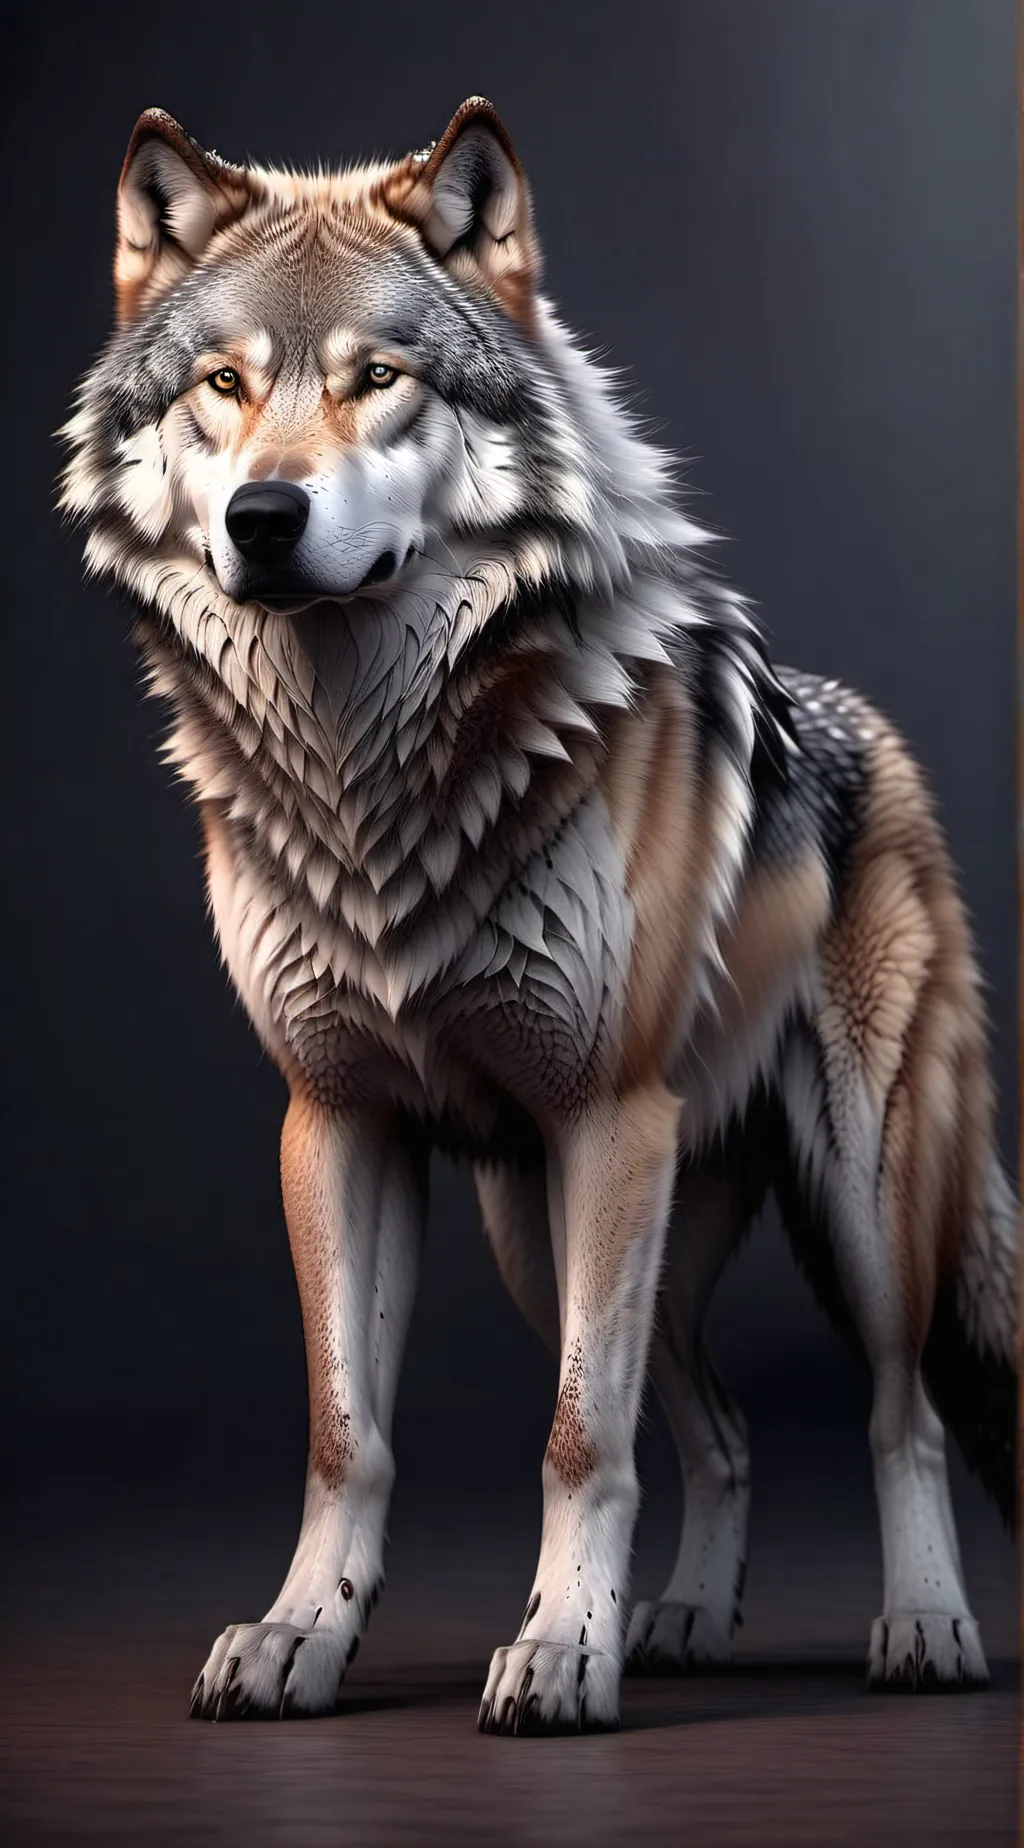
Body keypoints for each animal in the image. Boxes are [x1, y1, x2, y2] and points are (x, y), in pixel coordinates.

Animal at [61, 97, 1018, 1734]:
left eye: (379, 379)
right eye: (224, 385)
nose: (264, 517)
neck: (366, 774)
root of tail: (865, 725)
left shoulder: (607, 1116)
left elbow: (579, 1438)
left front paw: (564, 1651)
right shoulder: (338, 1123)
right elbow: (349, 1433)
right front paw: (302, 1635)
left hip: (856, 1195)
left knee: (901, 1415)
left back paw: (923, 1630)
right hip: (549, 1237)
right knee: (722, 1427)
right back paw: (683, 1622)